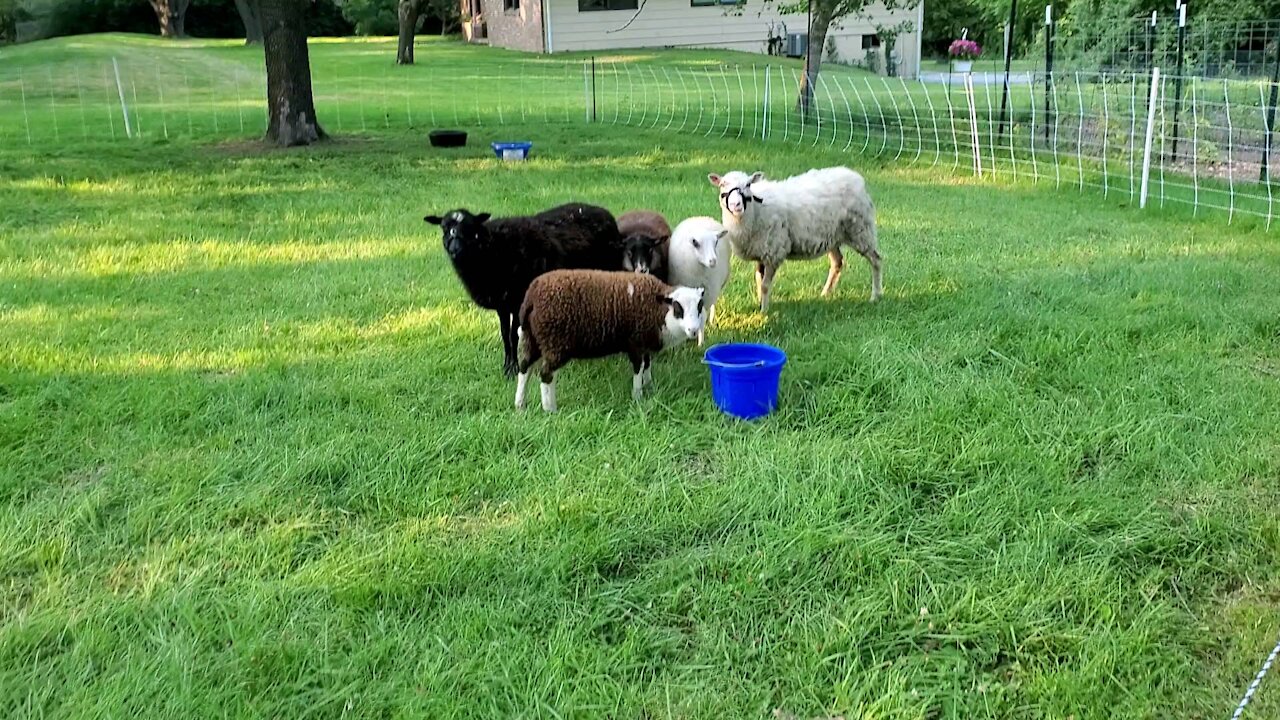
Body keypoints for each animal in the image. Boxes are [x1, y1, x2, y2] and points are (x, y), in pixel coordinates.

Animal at [424, 202, 624, 376]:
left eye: (470, 229)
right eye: (444, 229)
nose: (454, 250)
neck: (492, 249)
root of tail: (607, 214)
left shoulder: (517, 300)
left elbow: (514, 335)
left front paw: (513, 368)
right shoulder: (502, 304)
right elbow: (505, 334)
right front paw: (506, 365)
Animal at [514, 267, 706, 412]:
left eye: (699, 307)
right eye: (678, 308)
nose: (693, 331)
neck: (657, 309)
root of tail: (531, 295)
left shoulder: (644, 344)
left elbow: (647, 365)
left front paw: (650, 387)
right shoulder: (636, 343)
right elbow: (639, 368)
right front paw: (638, 396)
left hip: (532, 338)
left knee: (524, 367)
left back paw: (520, 404)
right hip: (555, 343)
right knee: (546, 374)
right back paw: (550, 409)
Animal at [670, 212, 732, 345]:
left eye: (716, 242)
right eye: (695, 243)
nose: (713, 261)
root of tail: (701, 217)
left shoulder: (708, 294)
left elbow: (702, 318)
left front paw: (700, 343)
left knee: (713, 304)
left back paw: (712, 320)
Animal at [706, 165, 885, 311]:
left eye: (748, 185)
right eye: (722, 184)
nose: (736, 205)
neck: (756, 211)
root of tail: (856, 177)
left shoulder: (774, 251)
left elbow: (765, 285)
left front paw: (764, 311)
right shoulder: (761, 252)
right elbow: (758, 280)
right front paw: (760, 303)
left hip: (861, 230)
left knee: (876, 260)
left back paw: (875, 296)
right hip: (833, 236)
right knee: (837, 262)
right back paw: (825, 293)